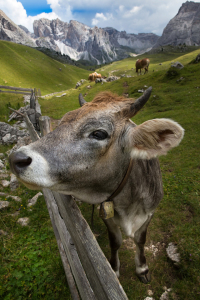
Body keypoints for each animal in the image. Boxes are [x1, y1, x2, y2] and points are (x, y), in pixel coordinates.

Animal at [9, 87, 184, 284]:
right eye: (61, 124)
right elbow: (115, 241)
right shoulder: (106, 214)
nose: (16, 158)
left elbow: (140, 240)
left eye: (98, 133)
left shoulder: (149, 212)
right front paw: (114, 269)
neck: (129, 204)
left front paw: (142, 269)